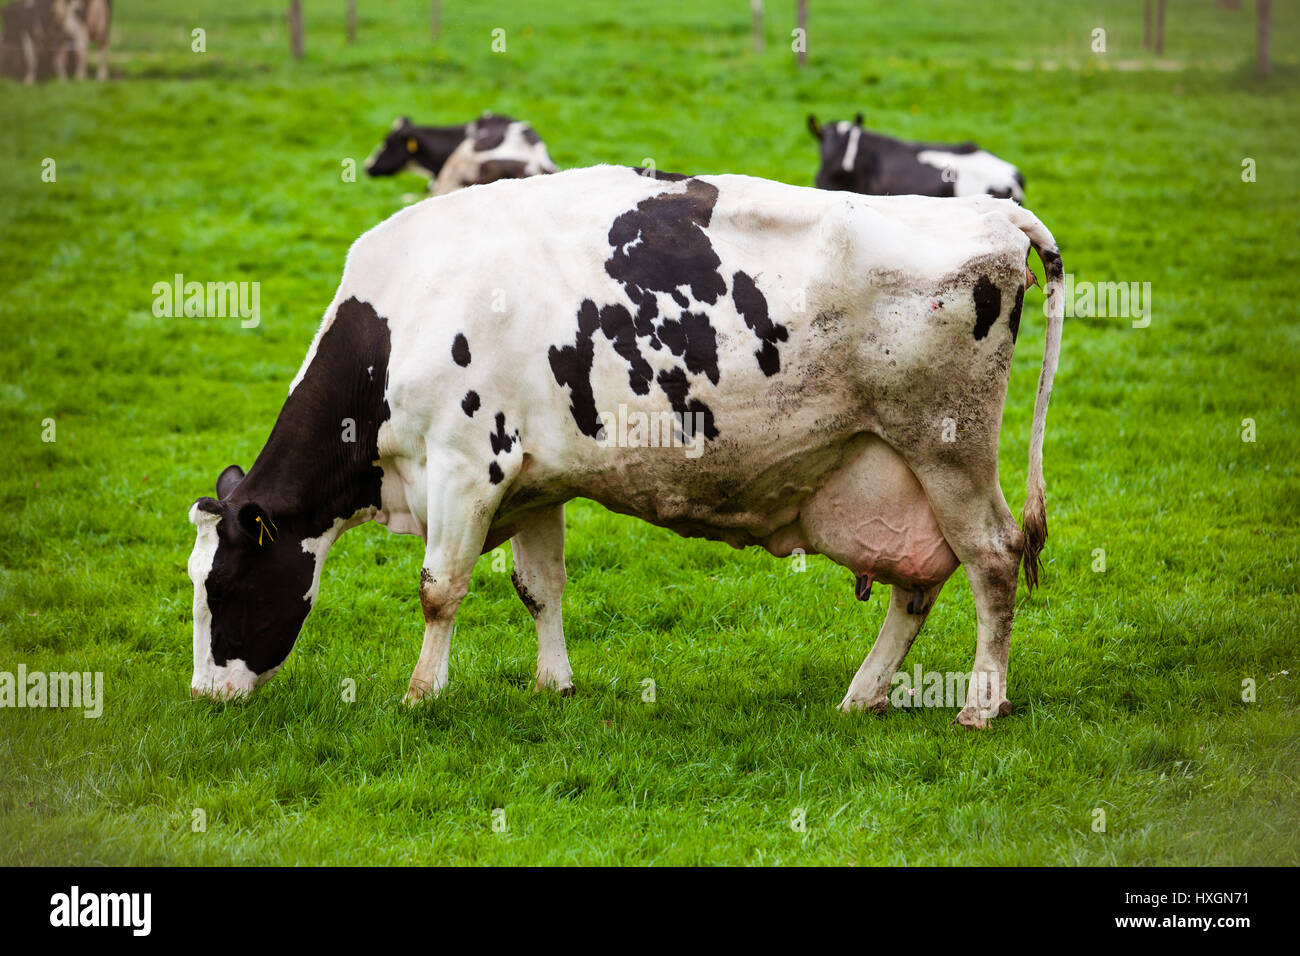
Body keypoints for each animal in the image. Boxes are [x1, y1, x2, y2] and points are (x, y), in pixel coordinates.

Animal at [187, 165, 1064, 730]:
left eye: (223, 586)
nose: (202, 694)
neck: (402, 317)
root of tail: (989, 213)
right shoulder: (533, 480)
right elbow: (539, 587)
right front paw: (554, 685)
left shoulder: (466, 465)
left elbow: (439, 589)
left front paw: (419, 695)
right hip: (895, 469)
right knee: (919, 582)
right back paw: (863, 694)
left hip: (946, 449)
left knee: (992, 558)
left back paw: (981, 704)